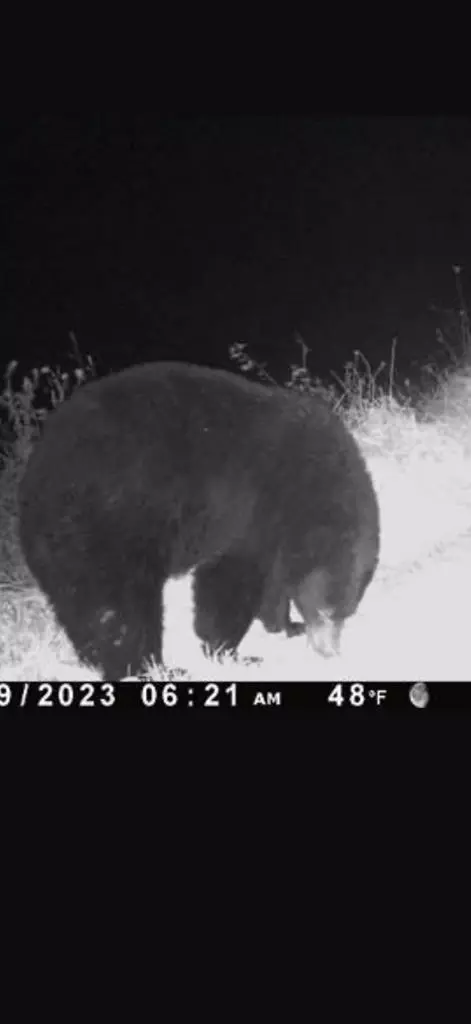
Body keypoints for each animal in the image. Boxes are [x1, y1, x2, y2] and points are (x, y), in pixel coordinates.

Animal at [18, 360, 380, 679]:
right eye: (327, 610)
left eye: (345, 612)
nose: (329, 651)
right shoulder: (249, 508)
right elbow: (229, 579)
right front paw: (230, 651)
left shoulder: (276, 534)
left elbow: (273, 581)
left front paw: (285, 624)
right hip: (107, 530)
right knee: (122, 605)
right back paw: (149, 667)